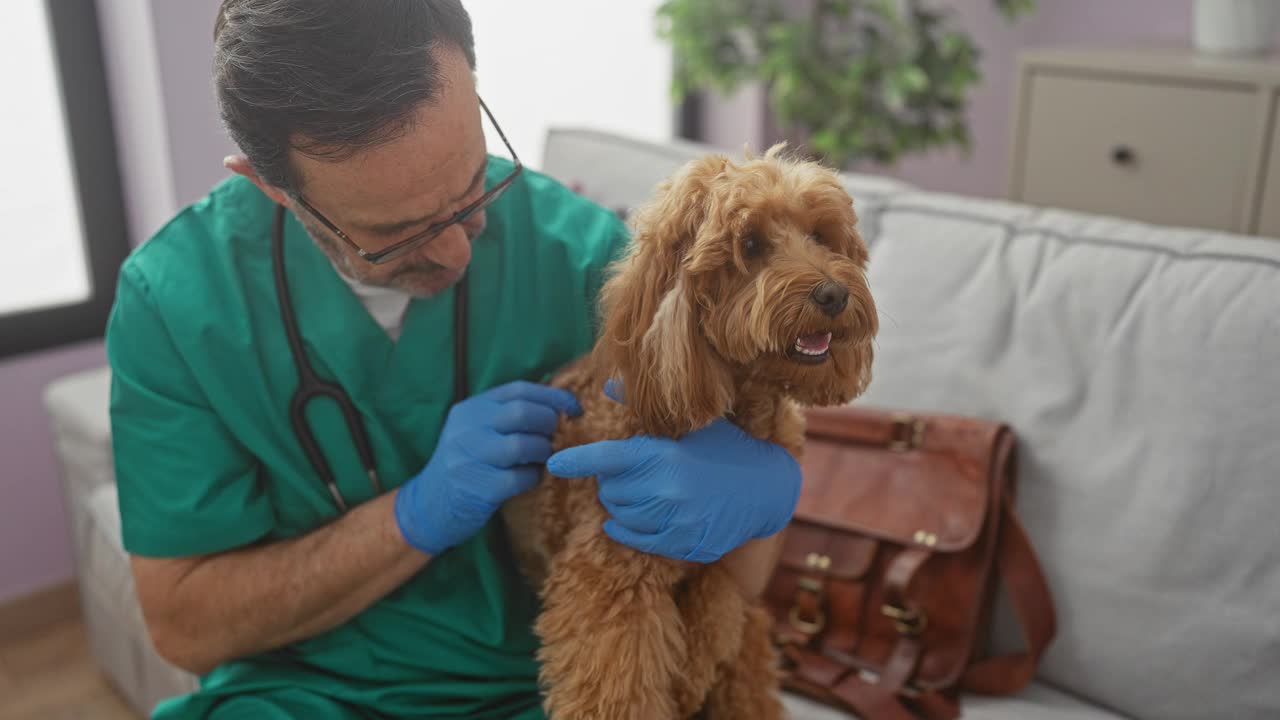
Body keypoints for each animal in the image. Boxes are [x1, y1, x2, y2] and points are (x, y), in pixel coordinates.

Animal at [501, 146, 880, 717]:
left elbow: (713, 622)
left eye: (820, 235)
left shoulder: (727, 551)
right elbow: (617, 686)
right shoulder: (611, 575)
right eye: (751, 244)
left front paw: (689, 677)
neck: (739, 411)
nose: (834, 294)